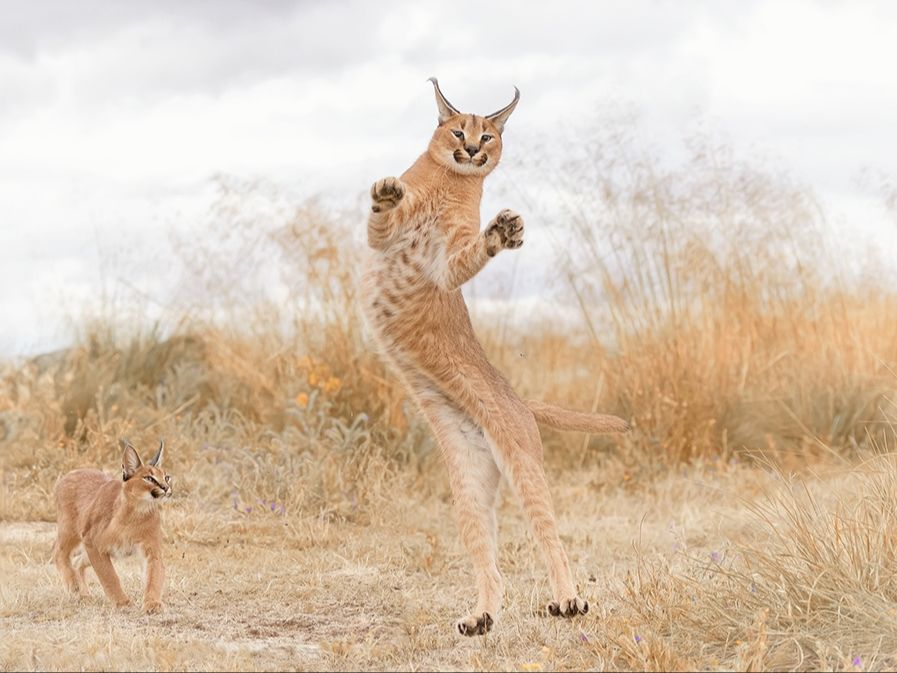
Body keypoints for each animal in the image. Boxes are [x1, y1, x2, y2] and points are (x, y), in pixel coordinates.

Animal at [54, 438, 173, 612]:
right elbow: (109, 575)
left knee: (77, 561)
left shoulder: (152, 550)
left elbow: (154, 576)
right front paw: (122, 602)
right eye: (149, 478)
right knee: (58, 552)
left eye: (167, 477)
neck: (137, 512)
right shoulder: (92, 542)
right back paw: (73, 584)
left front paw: (152, 603)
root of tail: (72, 472)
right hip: (70, 530)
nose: (166, 488)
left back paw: (84, 595)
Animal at [358, 80, 632, 636]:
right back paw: (481, 617)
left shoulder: (447, 262)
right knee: (490, 558)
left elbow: (469, 252)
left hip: (522, 462)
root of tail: (521, 400)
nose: (471, 150)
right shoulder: (382, 242)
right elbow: (383, 217)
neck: (450, 180)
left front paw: (502, 233)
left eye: (488, 134)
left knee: (552, 539)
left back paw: (568, 601)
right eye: (456, 130)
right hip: (468, 481)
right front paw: (388, 193)